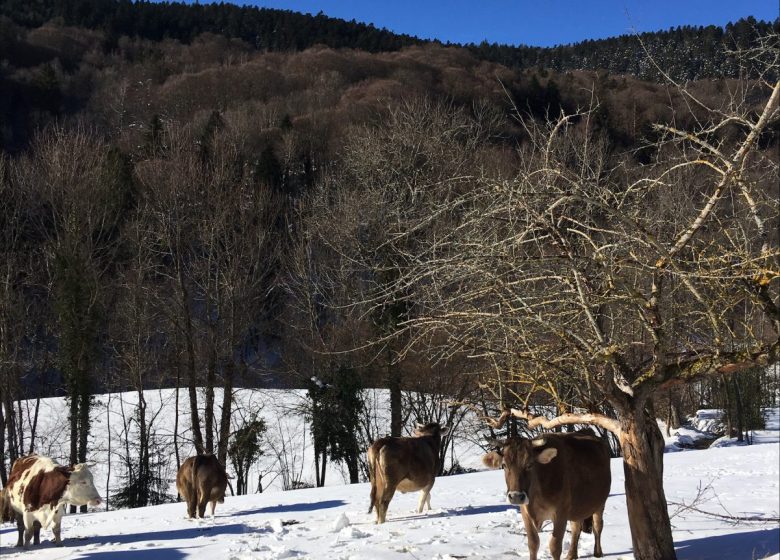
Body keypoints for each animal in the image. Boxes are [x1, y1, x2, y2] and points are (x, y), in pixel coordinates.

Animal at [482, 430, 616, 556]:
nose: (515, 497)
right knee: (576, 527)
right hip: (577, 507)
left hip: (600, 503)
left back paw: (597, 553)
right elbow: (533, 544)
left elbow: (555, 547)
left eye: (530, 464)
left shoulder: (561, 513)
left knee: (598, 526)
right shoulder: (525, 512)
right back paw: (571, 555)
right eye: (504, 465)